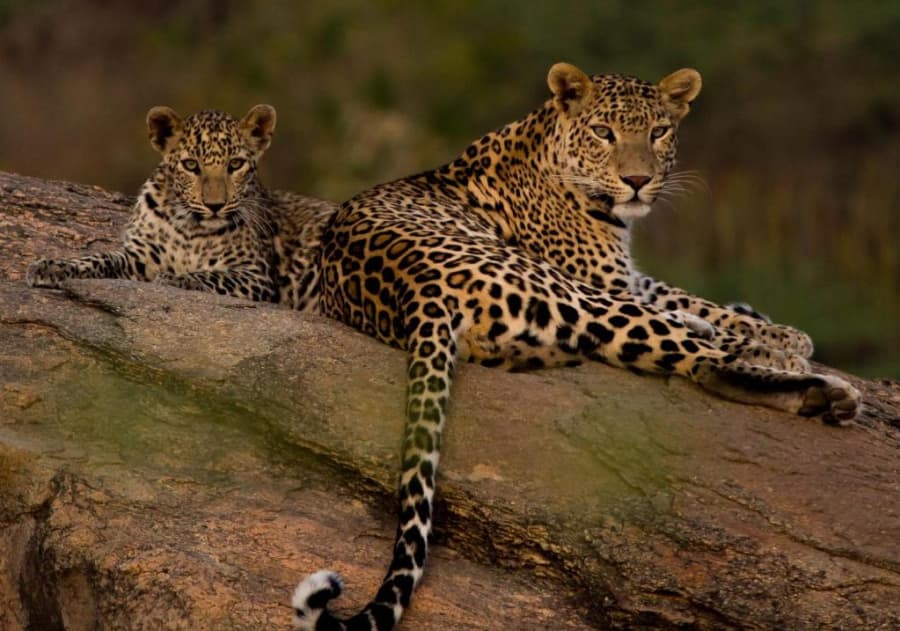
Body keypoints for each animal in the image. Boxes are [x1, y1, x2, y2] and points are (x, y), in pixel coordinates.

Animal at [26, 104, 335, 310]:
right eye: (191, 165)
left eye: (235, 164)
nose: (214, 205)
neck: (192, 229)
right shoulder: (141, 256)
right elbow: (99, 258)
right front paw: (52, 266)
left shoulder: (255, 275)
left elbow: (212, 275)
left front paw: (176, 280)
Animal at [291, 63, 861, 631]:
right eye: (604, 133)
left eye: (658, 132)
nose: (637, 181)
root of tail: (416, 290)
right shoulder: (604, 280)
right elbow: (695, 313)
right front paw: (783, 344)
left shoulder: (627, 277)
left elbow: (687, 296)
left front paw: (775, 329)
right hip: (563, 288)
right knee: (702, 362)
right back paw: (826, 392)